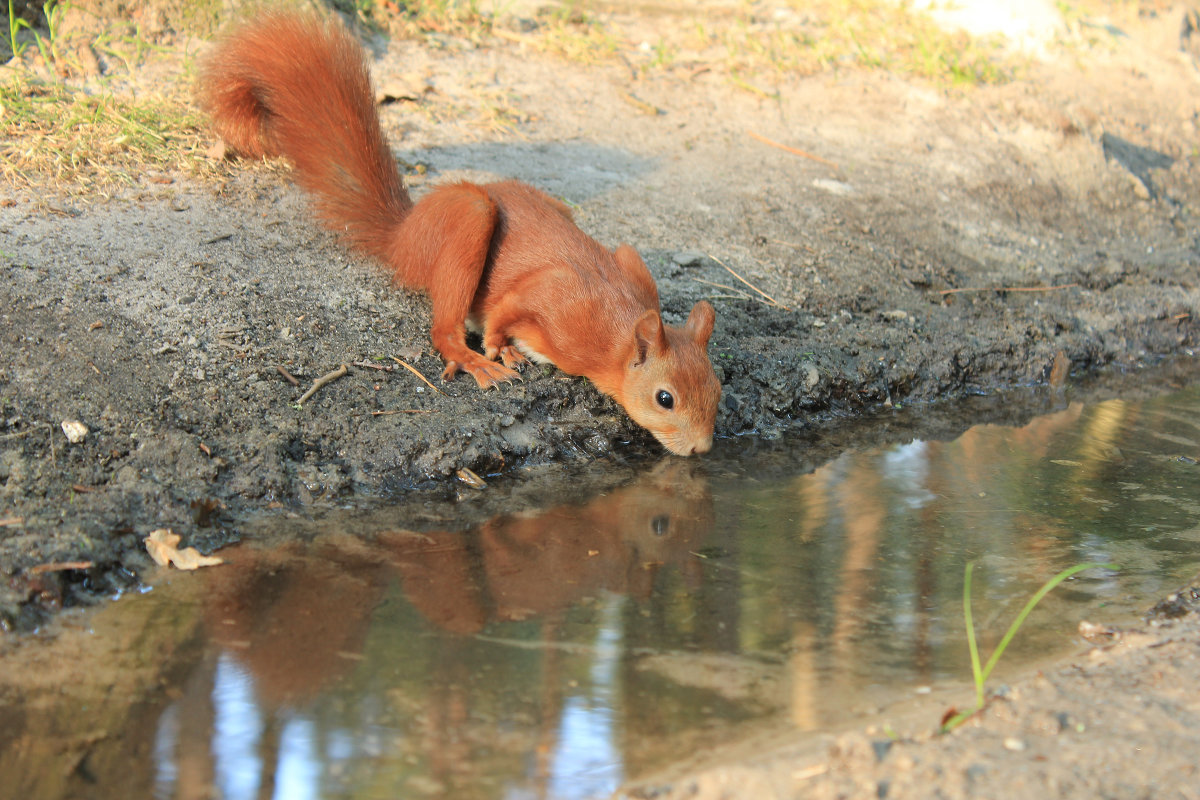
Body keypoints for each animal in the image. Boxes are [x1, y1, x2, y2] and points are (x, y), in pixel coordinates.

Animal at [198, 10, 720, 455]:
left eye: (718, 388)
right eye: (665, 398)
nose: (701, 450)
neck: (618, 323)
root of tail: (403, 235)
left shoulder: (631, 265)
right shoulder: (556, 298)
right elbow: (507, 308)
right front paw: (495, 345)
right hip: (466, 220)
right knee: (444, 327)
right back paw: (477, 359)